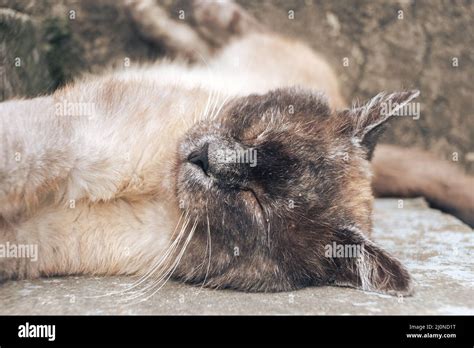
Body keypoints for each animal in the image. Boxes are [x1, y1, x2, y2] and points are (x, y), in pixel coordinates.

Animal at [0, 0, 472, 296]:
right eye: (257, 134)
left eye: (255, 202)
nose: (209, 159)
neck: (159, 192)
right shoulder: (72, 140)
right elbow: (18, 160)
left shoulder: (32, 240)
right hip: (244, 57)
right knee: (226, 34)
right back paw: (158, 11)